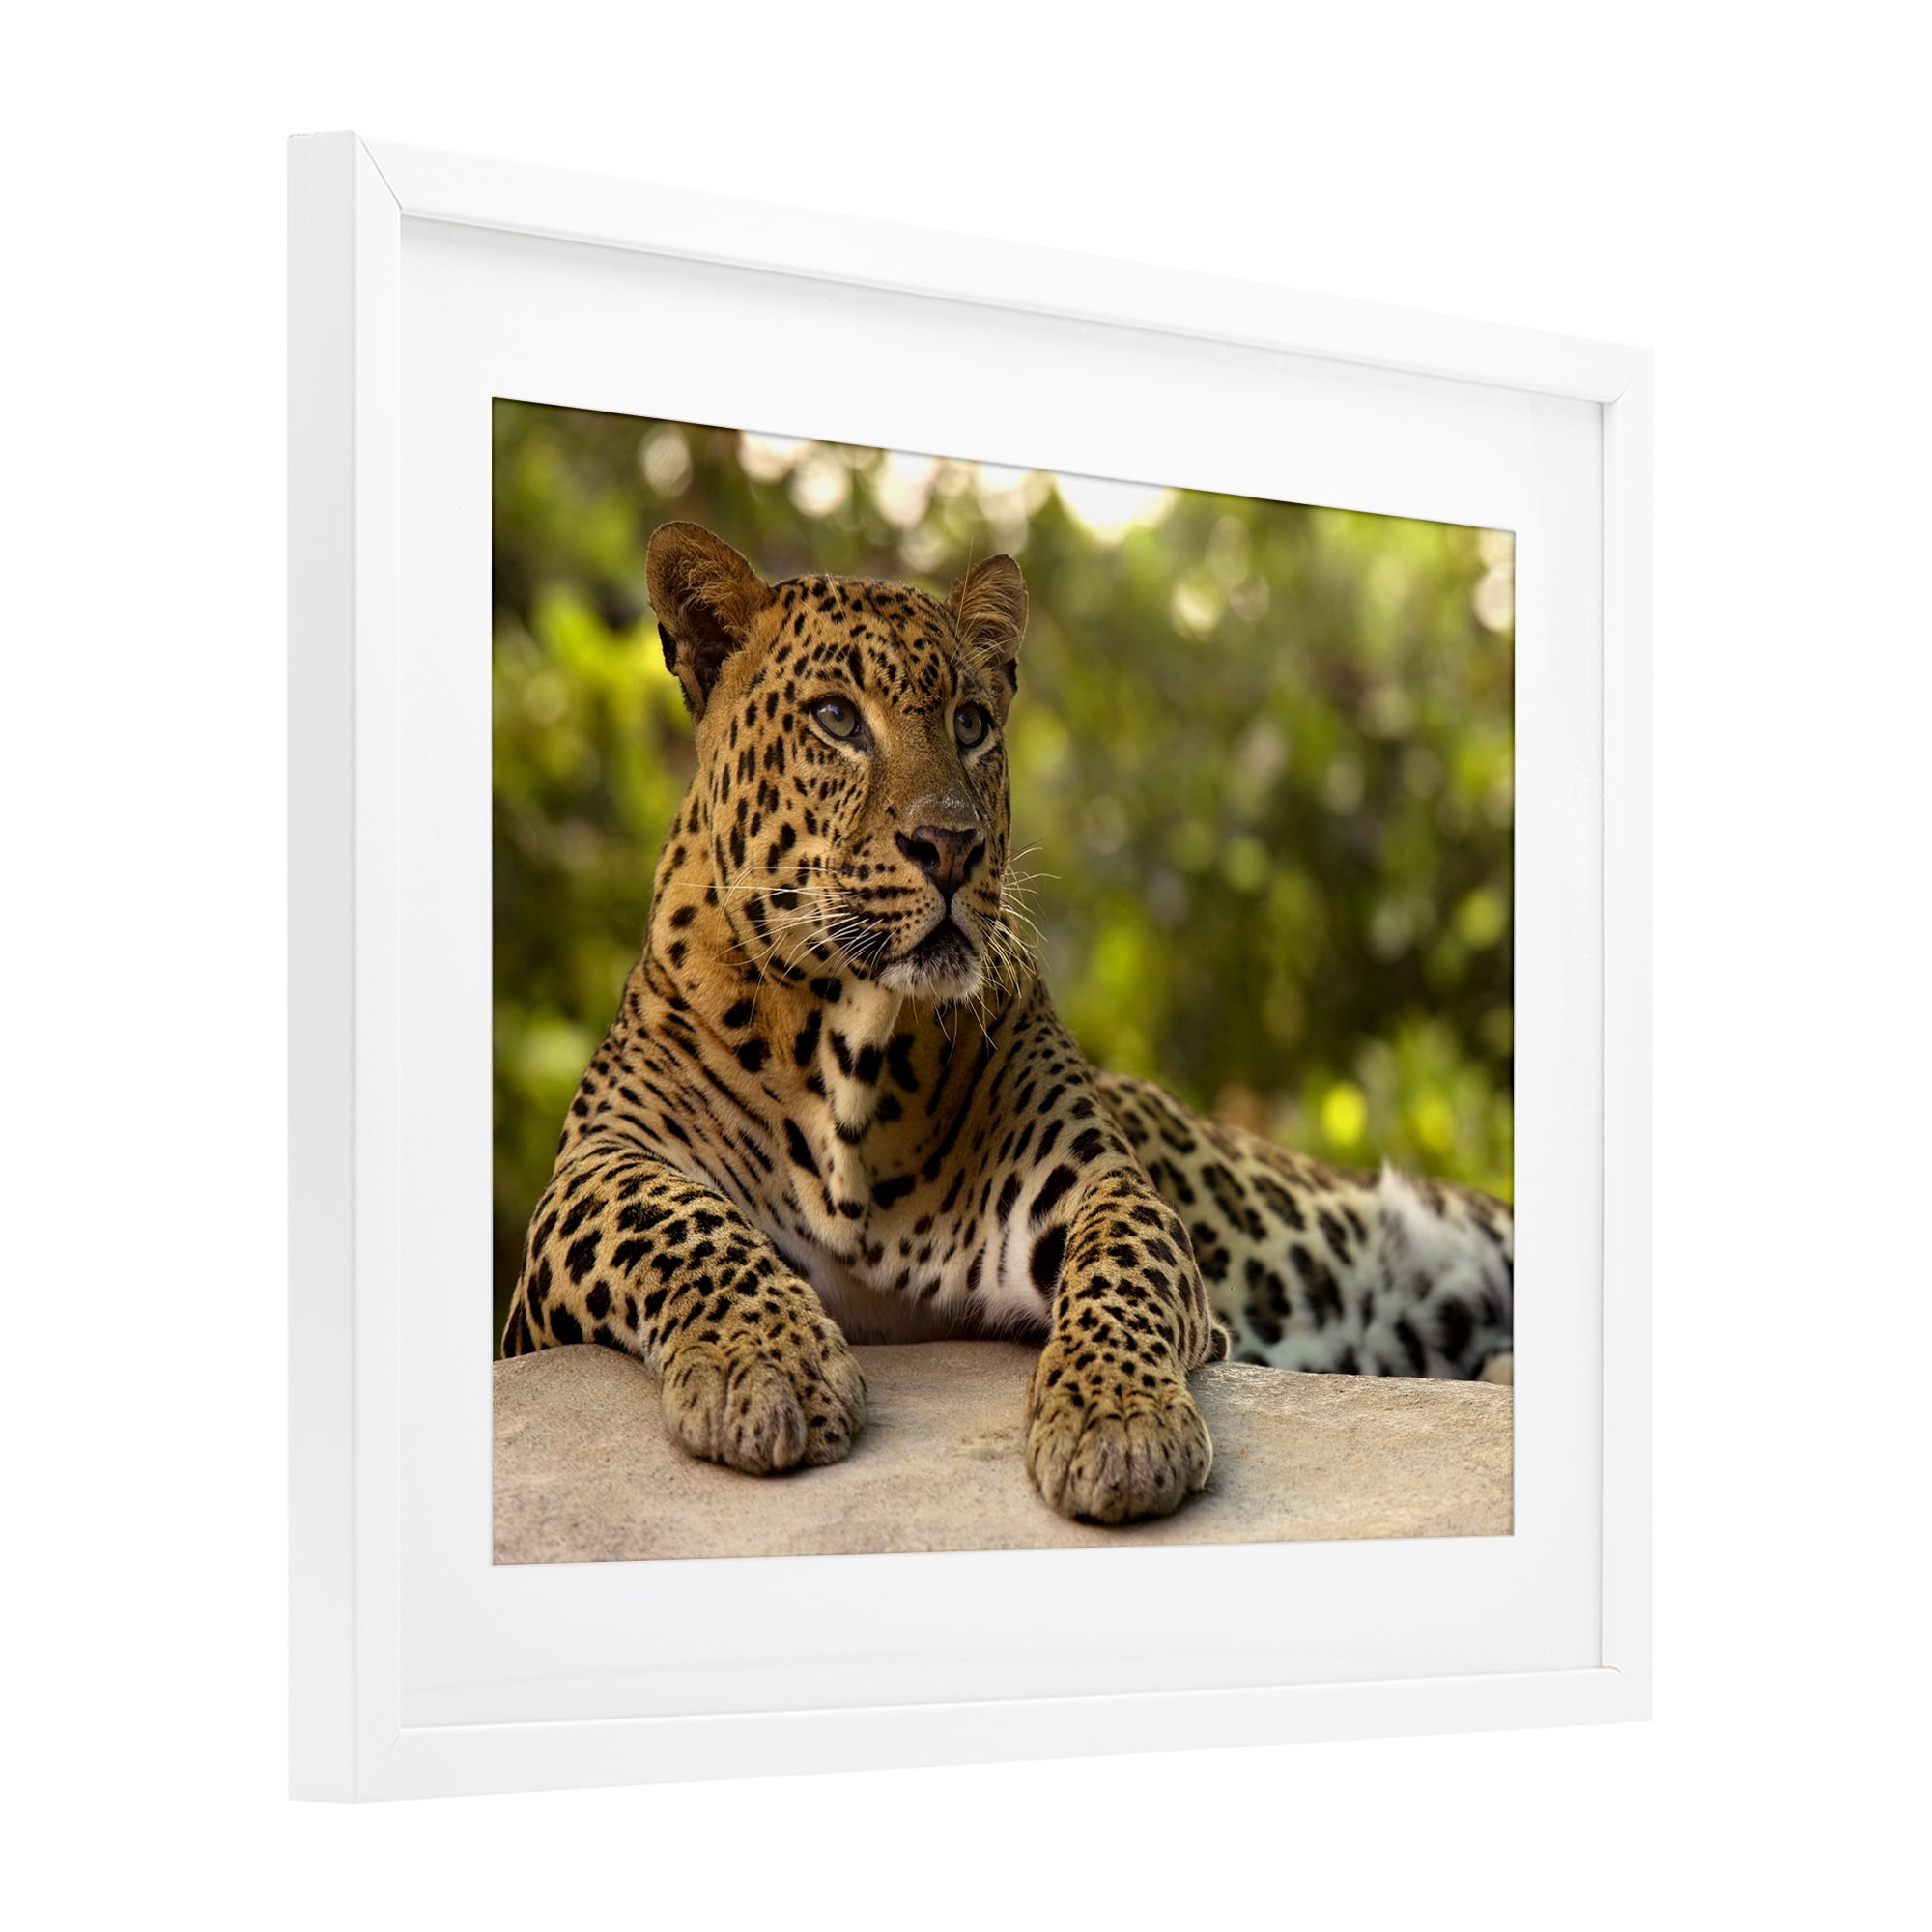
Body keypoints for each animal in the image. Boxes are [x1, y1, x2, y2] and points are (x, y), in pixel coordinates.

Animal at [501, 520, 1514, 1524]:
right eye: (836, 718)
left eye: (971, 723)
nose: (952, 845)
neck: (850, 1047)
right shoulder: (589, 1179)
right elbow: (672, 1219)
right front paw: (766, 1362)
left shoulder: (1091, 1180)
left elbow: (1123, 1262)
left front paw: (1119, 1421)